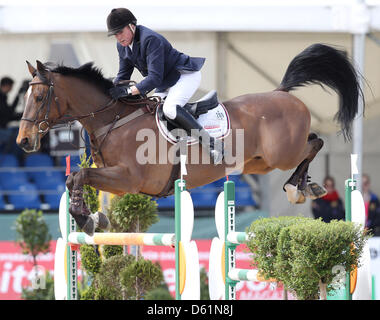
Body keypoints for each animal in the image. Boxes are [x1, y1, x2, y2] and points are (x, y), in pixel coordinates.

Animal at [17, 43, 362, 235]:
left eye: (38, 97)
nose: (24, 141)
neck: (113, 120)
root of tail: (281, 93)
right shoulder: (114, 178)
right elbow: (74, 177)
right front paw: (90, 217)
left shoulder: (128, 179)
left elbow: (80, 175)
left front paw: (87, 219)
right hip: (260, 164)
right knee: (310, 144)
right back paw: (303, 186)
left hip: (282, 154)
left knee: (314, 143)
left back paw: (297, 187)